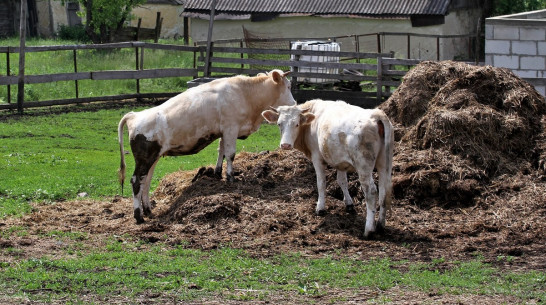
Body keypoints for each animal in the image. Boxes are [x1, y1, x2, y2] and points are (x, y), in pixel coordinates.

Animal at [119, 70, 296, 223]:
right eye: (288, 86)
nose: (294, 104)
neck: (246, 94)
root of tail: (135, 115)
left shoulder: (224, 131)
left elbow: (221, 151)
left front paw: (218, 173)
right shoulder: (231, 127)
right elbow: (230, 154)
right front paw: (231, 177)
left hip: (152, 158)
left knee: (146, 182)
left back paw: (148, 210)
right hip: (145, 159)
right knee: (136, 181)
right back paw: (138, 216)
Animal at [262, 100, 394, 238]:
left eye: (296, 124)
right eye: (279, 124)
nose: (285, 145)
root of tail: (376, 114)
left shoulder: (317, 158)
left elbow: (321, 183)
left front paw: (320, 208)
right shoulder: (340, 161)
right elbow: (342, 181)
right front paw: (349, 204)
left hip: (363, 166)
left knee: (371, 192)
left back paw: (369, 230)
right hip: (384, 164)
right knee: (384, 191)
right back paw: (380, 225)